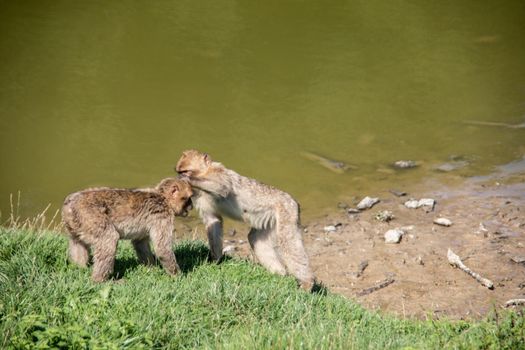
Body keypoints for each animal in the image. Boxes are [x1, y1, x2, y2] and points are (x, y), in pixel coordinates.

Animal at [61, 178, 192, 282]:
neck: (163, 198)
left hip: (75, 223)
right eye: (187, 199)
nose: (191, 206)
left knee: (78, 242)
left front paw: (151, 268)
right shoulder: (162, 216)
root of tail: (69, 203)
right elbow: (162, 249)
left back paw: (80, 269)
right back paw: (100, 281)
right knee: (109, 238)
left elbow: (139, 243)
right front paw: (178, 276)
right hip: (89, 216)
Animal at [176, 150, 316, 290]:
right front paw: (215, 261)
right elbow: (213, 221)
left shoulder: (219, 173)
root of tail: (294, 201)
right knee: (255, 238)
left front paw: (187, 179)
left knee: (288, 242)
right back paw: (280, 274)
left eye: (186, 171)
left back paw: (307, 283)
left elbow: (222, 187)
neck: (205, 173)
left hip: (287, 212)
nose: (179, 176)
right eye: (179, 171)